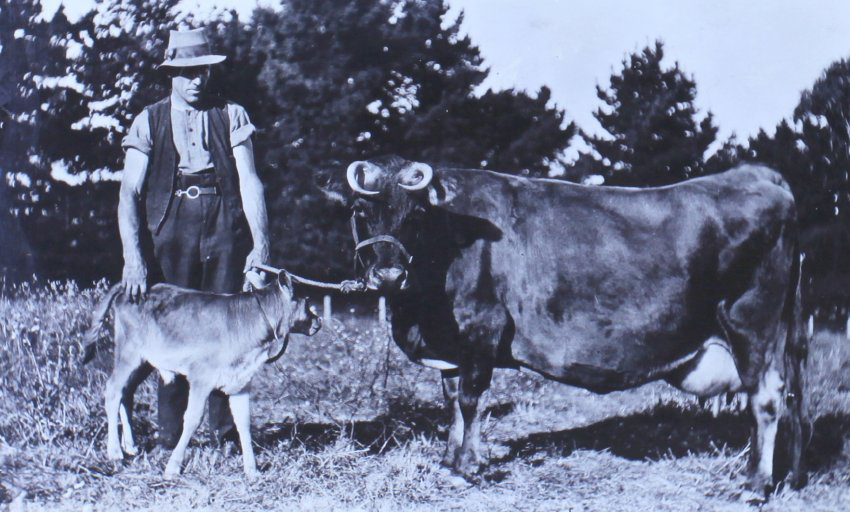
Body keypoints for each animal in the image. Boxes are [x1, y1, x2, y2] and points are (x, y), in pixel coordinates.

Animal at [323, 155, 808, 496]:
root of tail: (756, 174)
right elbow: (452, 402)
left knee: (766, 398)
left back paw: (754, 484)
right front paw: (449, 459)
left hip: (751, 323)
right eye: (361, 212)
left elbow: (471, 400)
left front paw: (468, 465)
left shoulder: (481, 329)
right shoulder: (452, 349)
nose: (388, 275)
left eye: (416, 215)